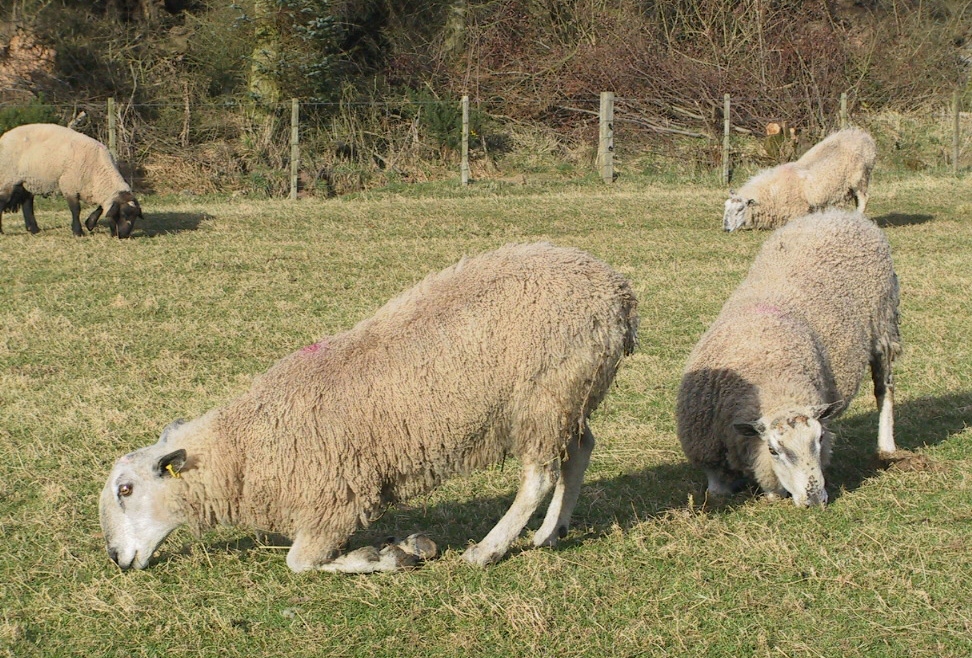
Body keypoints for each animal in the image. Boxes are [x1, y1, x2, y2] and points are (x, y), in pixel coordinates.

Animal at [0, 121, 141, 237]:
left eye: (135, 217)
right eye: (123, 214)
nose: (124, 236)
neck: (98, 170)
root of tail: (4, 136)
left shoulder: (95, 190)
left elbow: (101, 207)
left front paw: (89, 223)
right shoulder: (69, 186)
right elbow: (76, 209)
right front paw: (78, 232)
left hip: (28, 180)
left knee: (27, 202)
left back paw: (34, 229)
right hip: (7, 178)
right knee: (4, 200)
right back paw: (3, 232)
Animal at [102, 241, 640, 568]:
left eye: (126, 490)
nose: (115, 557)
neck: (247, 449)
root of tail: (616, 288)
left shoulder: (335, 501)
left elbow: (300, 563)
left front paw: (386, 555)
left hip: (543, 395)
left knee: (539, 476)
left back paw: (487, 550)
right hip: (573, 393)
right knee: (580, 451)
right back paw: (551, 532)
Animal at [676, 208, 896, 504]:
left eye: (820, 439)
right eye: (773, 450)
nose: (815, 500)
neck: (771, 381)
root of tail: (839, 214)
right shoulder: (709, 449)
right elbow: (717, 488)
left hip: (884, 325)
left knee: (884, 390)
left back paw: (887, 447)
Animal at [720, 127, 880, 231]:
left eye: (740, 209)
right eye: (726, 207)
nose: (726, 229)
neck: (772, 191)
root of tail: (863, 135)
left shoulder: (799, 210)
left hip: (860, 177)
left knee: (864, 198)